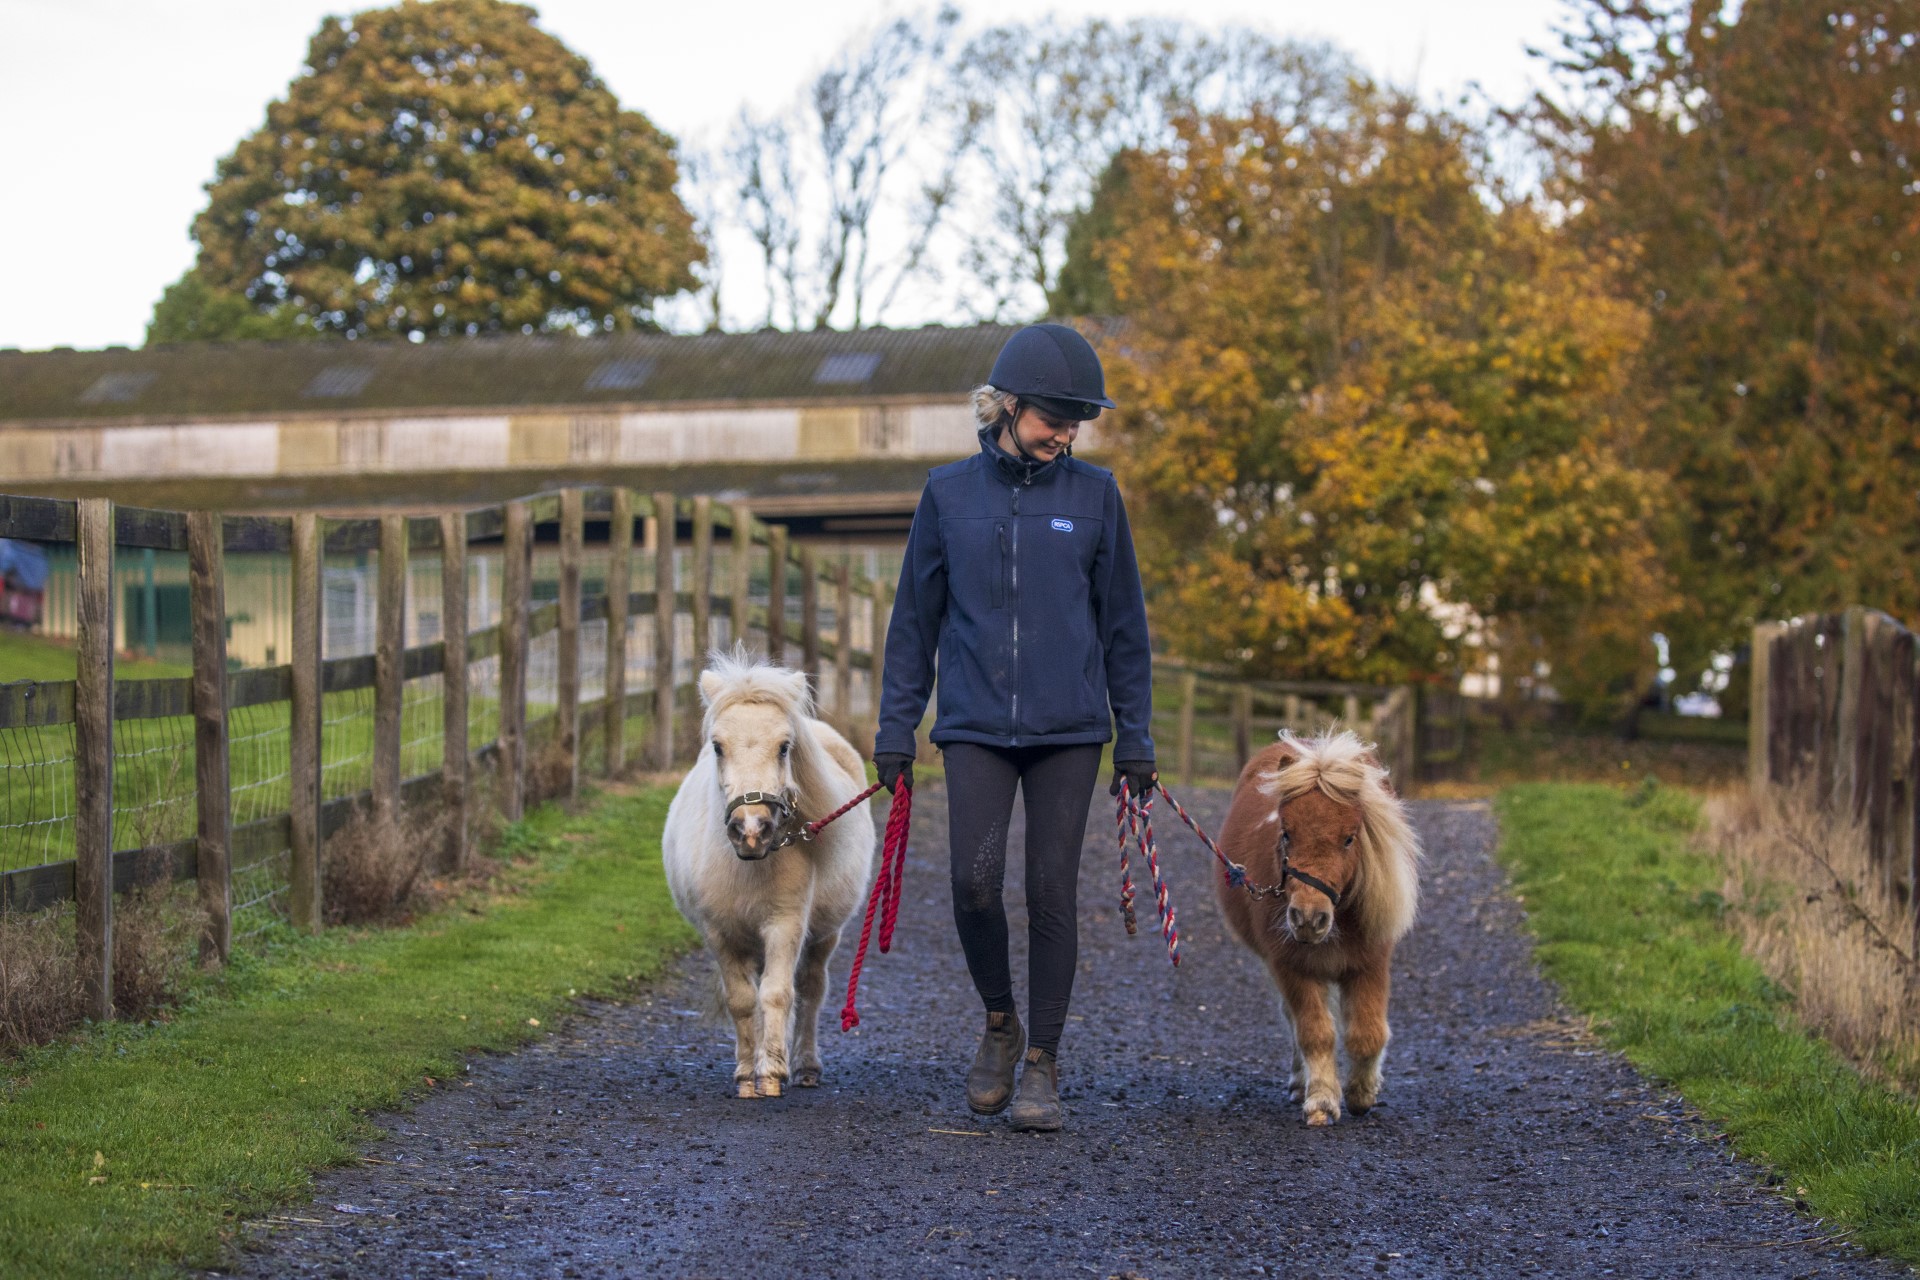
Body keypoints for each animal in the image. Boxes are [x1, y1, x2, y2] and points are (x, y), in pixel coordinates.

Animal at [661, 648, 876, 1099]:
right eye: (717, 746)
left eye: (784, 747)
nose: (751, 829)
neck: (749, 866)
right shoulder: (720, 934)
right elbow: (743, 1001)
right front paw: (748, 1076)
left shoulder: (785, 924)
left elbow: (777, 995)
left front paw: (774, 1073)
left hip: (824, 935)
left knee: (811, 990)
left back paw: (805, 1067)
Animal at [1213, 730, 1422, 1125]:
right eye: (1286, 833)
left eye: (1349, 838)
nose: (1308, 919)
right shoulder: (1290, 966)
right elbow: (1314, 1032)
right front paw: (1323, 1099)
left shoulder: (1370, 963)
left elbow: (1368, 1033)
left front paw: (1361, 1094)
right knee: (1292, 1021)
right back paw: (1300, 1083)